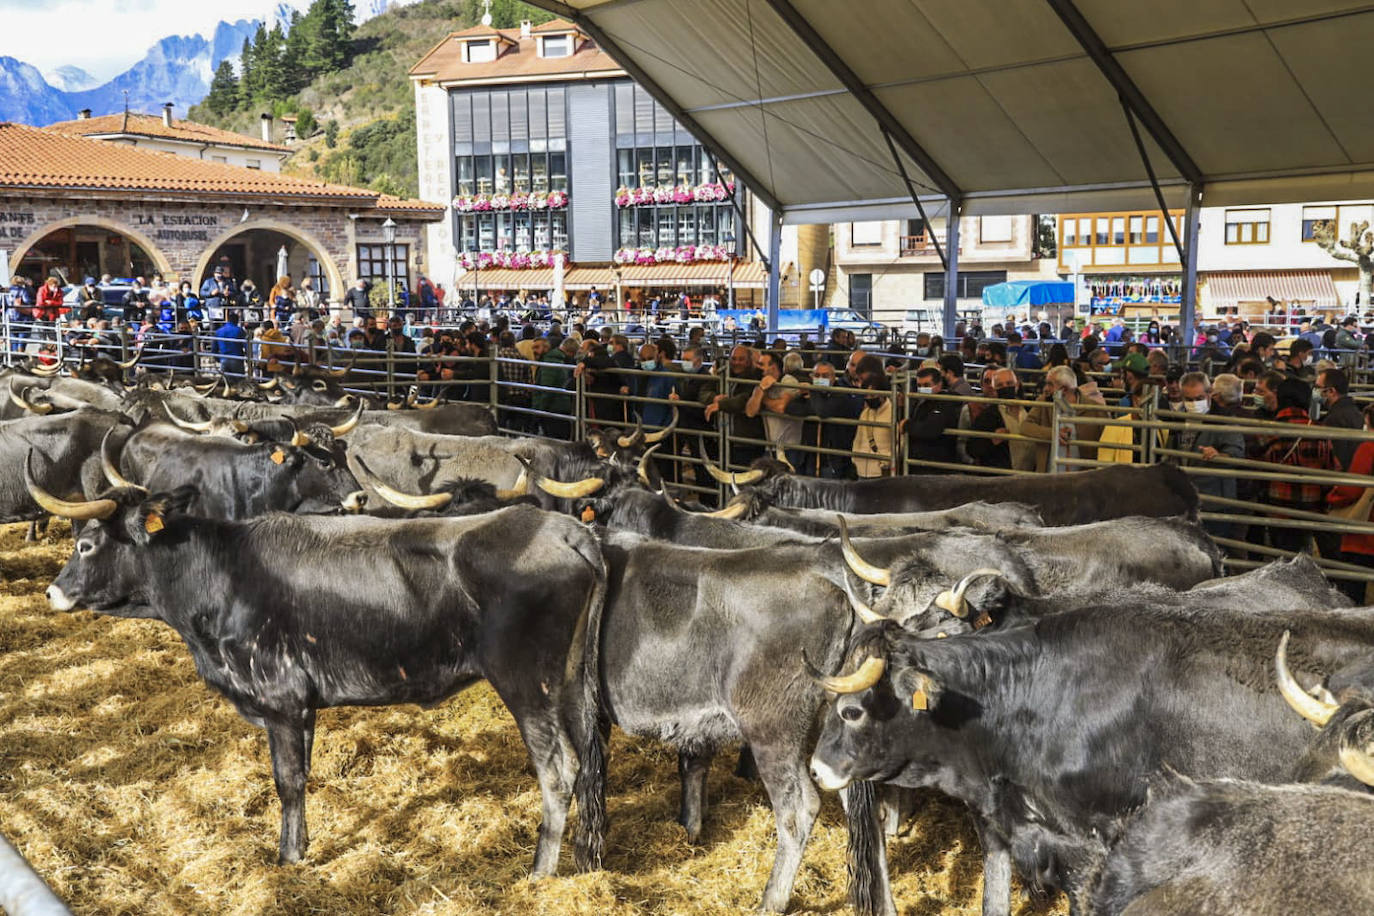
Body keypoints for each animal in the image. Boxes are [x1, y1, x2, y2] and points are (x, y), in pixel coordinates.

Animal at [30, 477, 607, 878]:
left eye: (86, 544)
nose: (52, 592)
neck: (222, 574)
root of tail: (566, 529)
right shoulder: (303, 706)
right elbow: (303, 778)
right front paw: (302, 848)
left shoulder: (281, 699)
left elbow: (287, 781)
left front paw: (287, 858)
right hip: (573, 686)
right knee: (587, 767)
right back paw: (585, 864)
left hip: (528, 686)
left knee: (558, 773)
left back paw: (538, 873)